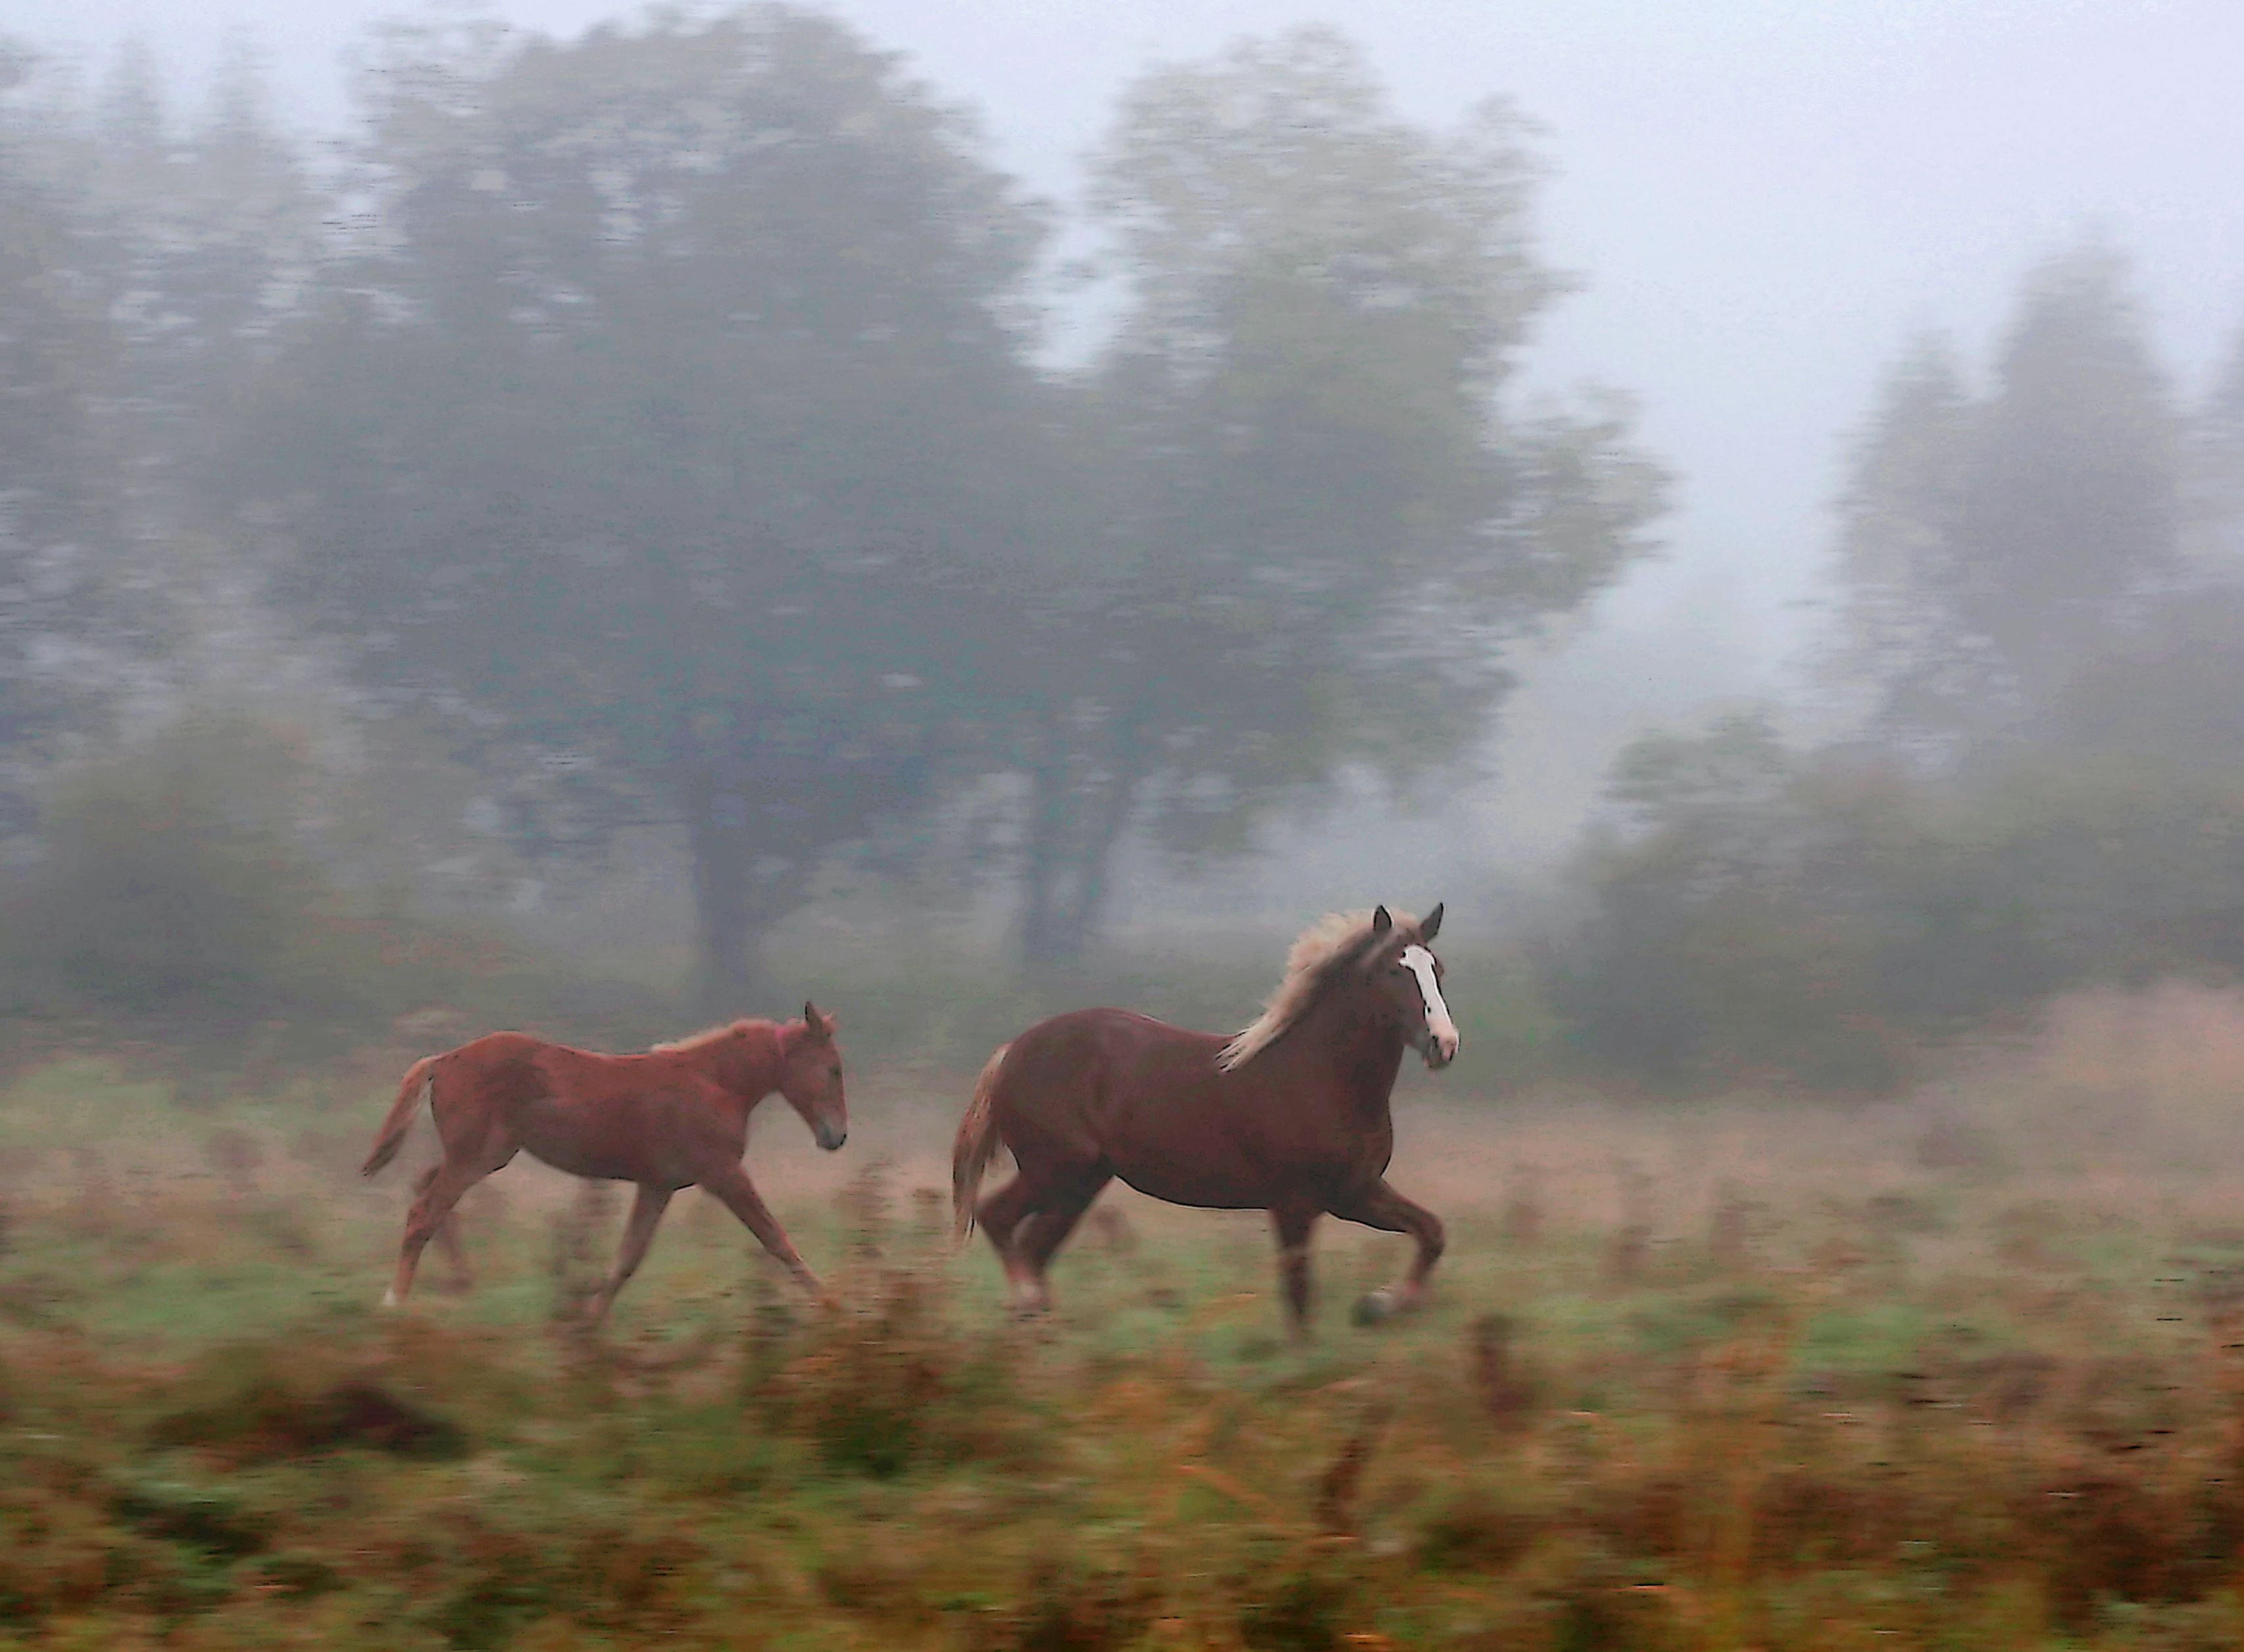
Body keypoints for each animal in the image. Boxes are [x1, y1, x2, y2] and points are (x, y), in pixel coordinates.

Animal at [362, 1004, 848, 1322]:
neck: (713, 1083)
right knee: (424, 1211)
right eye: (834, 1069)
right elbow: (776, 1238)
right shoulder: (723, 1174)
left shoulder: (658, 1184)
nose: (837, 1136)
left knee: (427, 1191)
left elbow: (628, 1256)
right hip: (478, 1155)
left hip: (481, 1156)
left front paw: (590, 1320)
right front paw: (832, 1305)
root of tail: (445, 1059)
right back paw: (395, 1301)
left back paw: (459, 1282)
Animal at [951, 904, 1457, 1334]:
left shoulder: (1354, 1193)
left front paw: (1378, 1304)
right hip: (1055, 1170)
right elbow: (1298, 1298)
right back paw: (1028, 1309)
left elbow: (1432, 1232)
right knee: (997, 1219)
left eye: (1437, 969)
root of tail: (1012, 1051)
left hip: (1079, 1185)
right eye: (1393, 969)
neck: (1319, 1076)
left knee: (1031, 1247)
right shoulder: (1294, 1203)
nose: (1444, 1043)